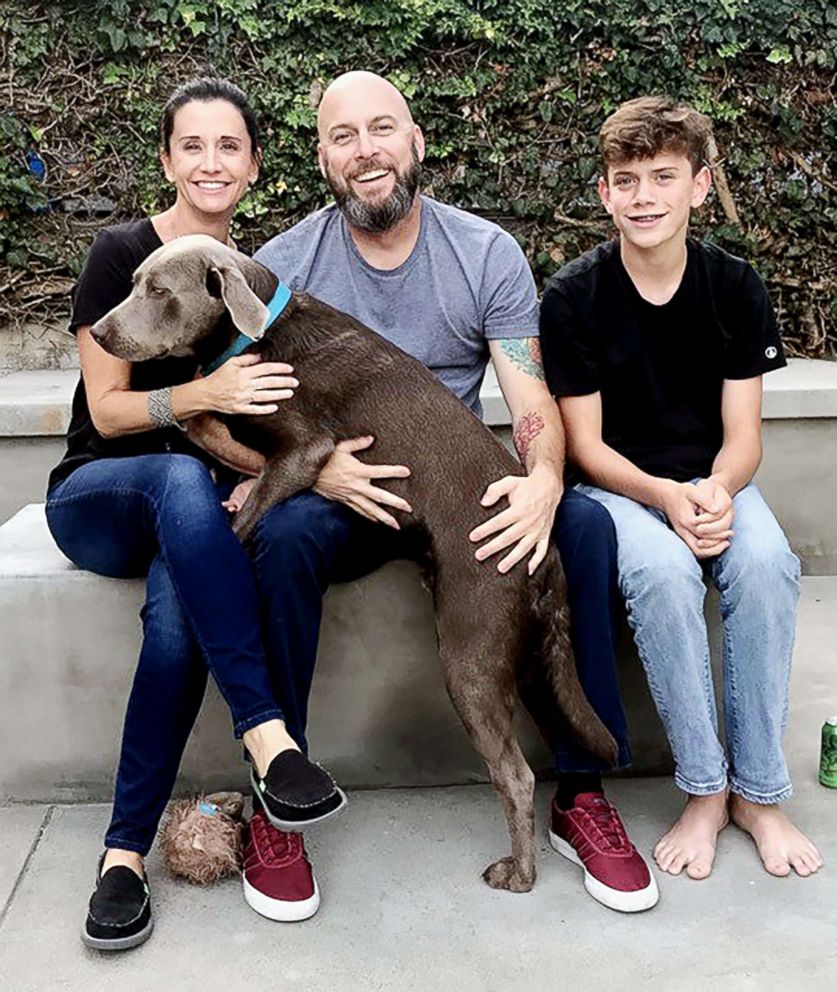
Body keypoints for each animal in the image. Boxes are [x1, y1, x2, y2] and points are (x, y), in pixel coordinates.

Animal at [93, 236, 612, 896]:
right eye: (134, 282)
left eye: (159, 291)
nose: (99, 333)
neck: (258, 334)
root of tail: (542, 560)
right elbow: (197, 415)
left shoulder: (304, 450)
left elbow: (242, 509)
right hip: (529, 661)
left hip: (471, 653)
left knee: (515, 774)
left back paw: (518, 874)